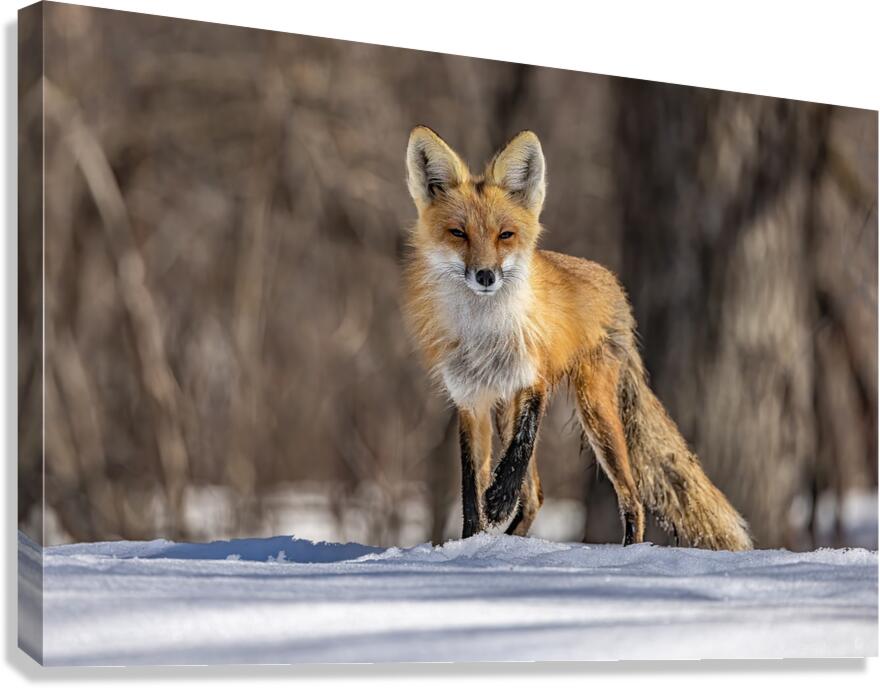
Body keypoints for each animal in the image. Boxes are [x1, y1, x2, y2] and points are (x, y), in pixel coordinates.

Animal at [402, 125, 753, 551]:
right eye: (458, 234)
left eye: (505, 235)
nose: (485, 275)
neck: (487, 332)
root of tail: (613, 285)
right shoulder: (471, 400)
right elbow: (471, 489)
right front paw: (470, 544)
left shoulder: (534, 379)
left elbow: (520, 447)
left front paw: (498, 500)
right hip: (511, 411)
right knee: (536, 497)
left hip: (596, 410)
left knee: (631, 496)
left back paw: (630, 552)